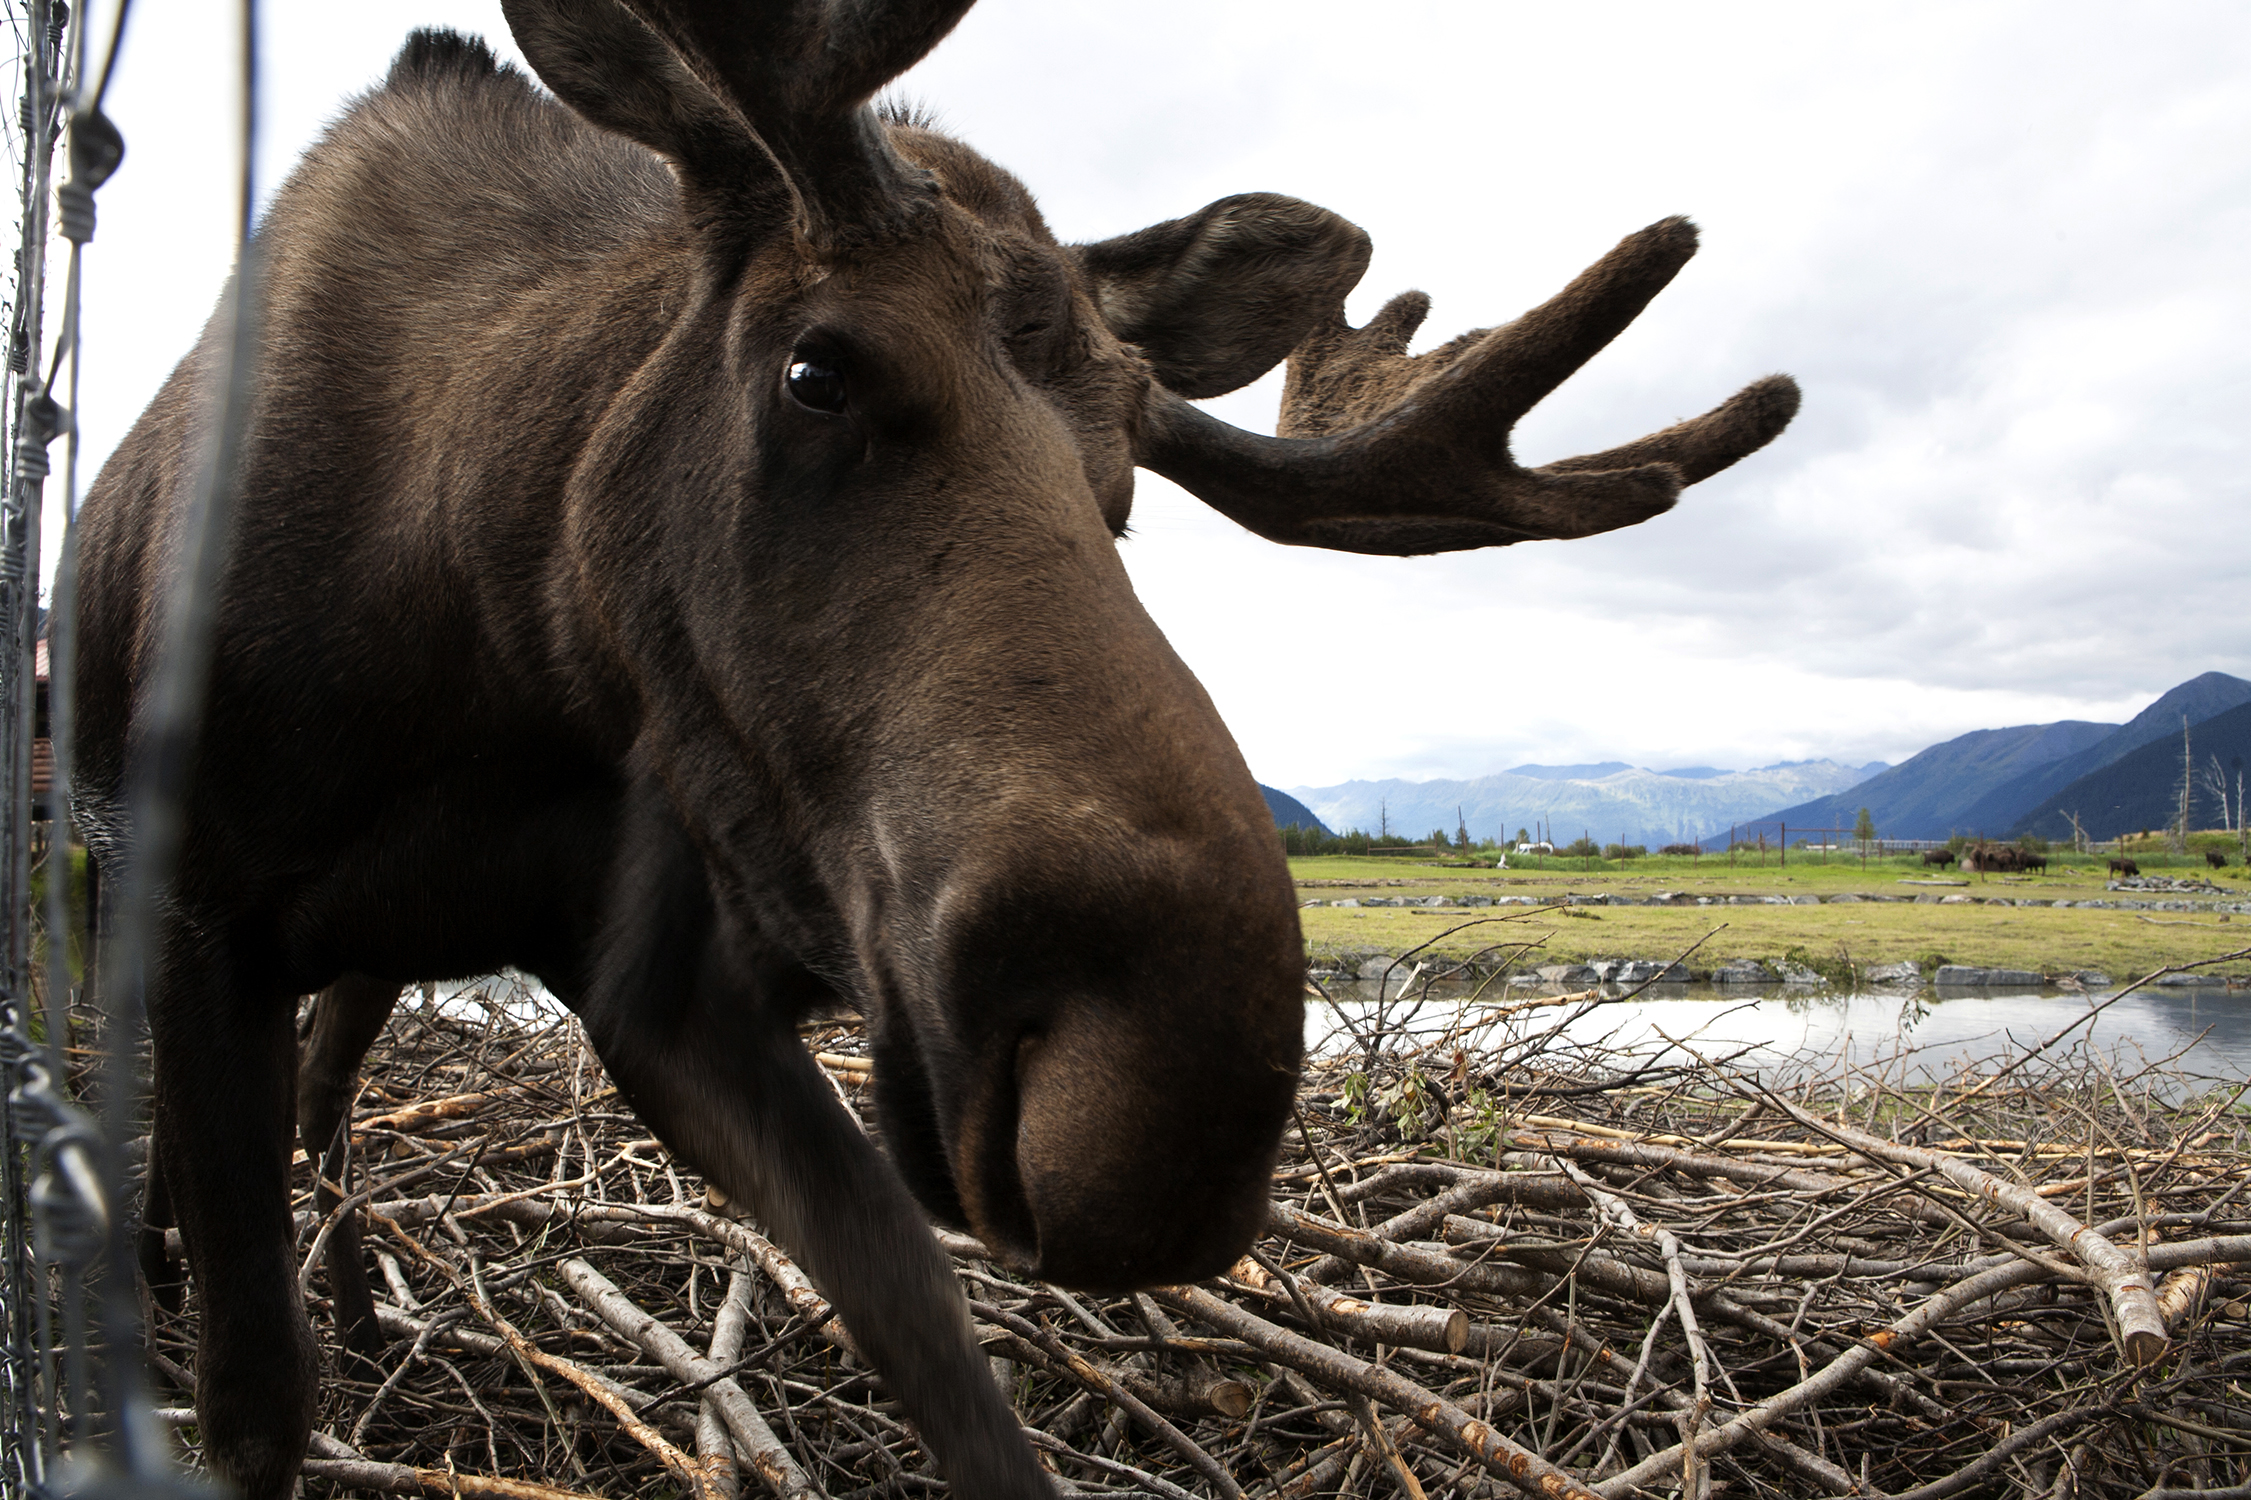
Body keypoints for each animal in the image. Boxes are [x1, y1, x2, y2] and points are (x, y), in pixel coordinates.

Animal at [70, 2, 1791, 1495]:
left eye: (1125, 476)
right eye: (815, 366)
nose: (1163, 1103)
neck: (473, 634)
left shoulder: (657, 972)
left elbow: (937, 1354)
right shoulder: (198, 903)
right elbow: (252, 1402)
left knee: (327, 1106)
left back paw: (358, 1299)